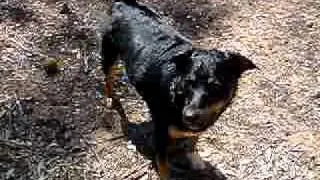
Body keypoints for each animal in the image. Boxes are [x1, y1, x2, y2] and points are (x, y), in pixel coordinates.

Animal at [101, 0, 256, 179]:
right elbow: (163, 166)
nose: (189, 115)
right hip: (109, 54)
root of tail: (123, 4)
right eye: (188, 82)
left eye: (216, 86)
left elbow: (192, 141)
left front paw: (193, 158)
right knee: (107, 78)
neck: (177, 95)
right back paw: (110, 97)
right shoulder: (160, 135)